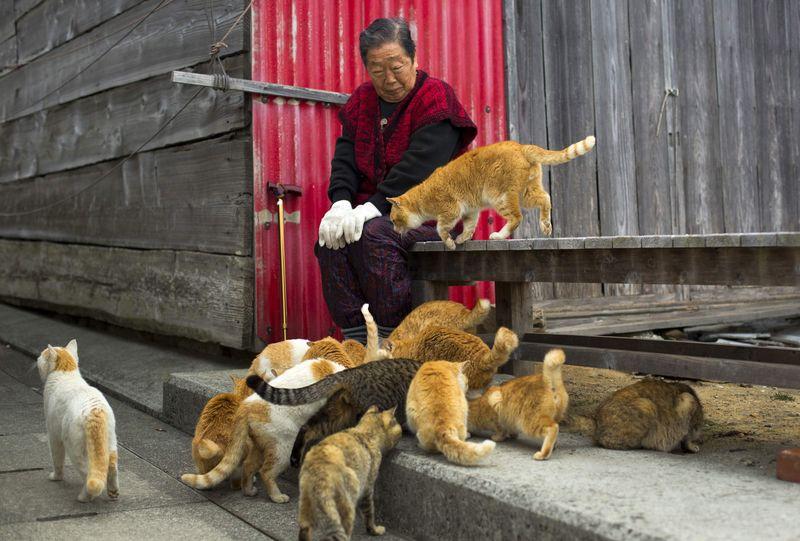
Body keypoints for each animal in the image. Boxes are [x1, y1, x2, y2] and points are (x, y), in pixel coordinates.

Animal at [37, 340, 119, 500]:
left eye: (42, 354)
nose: (37, 357)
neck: (66, 372)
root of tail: (94, 411)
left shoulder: (54, 435)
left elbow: (57, 460)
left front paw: (56, 477)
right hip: (111, 442)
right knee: (111, 466)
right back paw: (113, 492)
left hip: (74, 450)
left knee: (88, 475)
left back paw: (84, 497)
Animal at [183, 354, 346, 502]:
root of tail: (245, 406)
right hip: (284, 448)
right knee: (265, 472)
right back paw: (276, 496)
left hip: (260, 445)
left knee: (248, 466)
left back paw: (249, 491)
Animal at [298, 404, 404, 540]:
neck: (365, 433)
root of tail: (317, 471)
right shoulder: (367, 487)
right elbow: (369, 514)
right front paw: (375, 530)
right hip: (347, 504)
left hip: (305, 510)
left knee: (304, 531)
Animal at [384, 138, 596, 250]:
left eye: (394, 220)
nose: (393, 230)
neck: (423, 196)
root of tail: (521, 146)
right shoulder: (470, 211)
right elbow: (469, 227)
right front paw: (461, 239)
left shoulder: (450, 210)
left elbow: (441, 228)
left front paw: (450, 243)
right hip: (527, 193)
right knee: (546, 198)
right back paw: (545, 226)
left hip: (500, 197)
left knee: (517, 218)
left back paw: (499, 236)